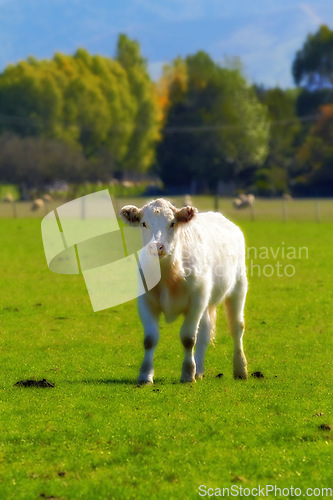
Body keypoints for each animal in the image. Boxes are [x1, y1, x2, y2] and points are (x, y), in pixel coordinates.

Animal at [119, 198, 246, 382]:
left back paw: (240, 369)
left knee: (236, 328)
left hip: (238, 287)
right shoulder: (146, 301)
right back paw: (199, 370)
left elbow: (188, 338)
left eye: (172, 223)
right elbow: (150, 339)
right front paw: (145, 374)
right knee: (205, 332)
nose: (157, 247)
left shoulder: (196, 301)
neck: (169, 275)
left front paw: (187, 374)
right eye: (144, 223)